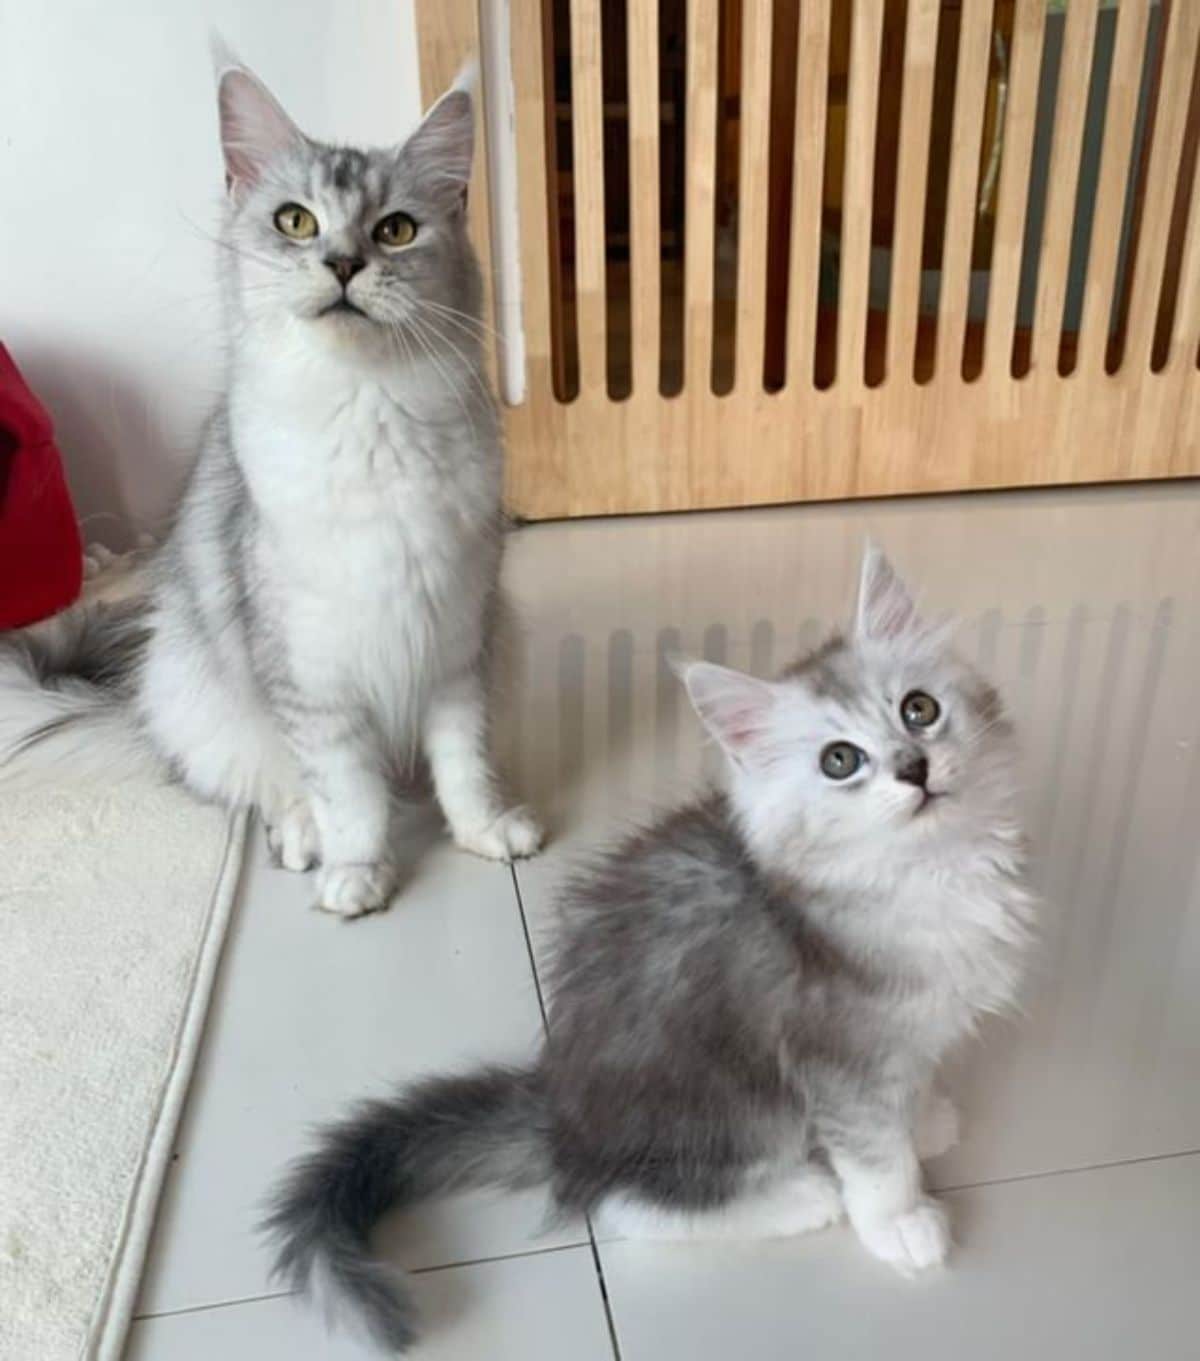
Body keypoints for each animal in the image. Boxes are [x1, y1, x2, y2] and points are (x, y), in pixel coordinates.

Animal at [0, 53, 538, 914]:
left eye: (396, 229)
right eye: (296, 222)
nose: (344, 264)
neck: (369, 415)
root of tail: (139, 696)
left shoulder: (458, 642)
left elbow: (464, 763)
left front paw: (487, 831)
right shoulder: (310, 672)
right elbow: (347, 789)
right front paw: (358, 873)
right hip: (205, 695)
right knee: (268, 784)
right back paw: (302, 838)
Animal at [266, 544, 1034, 1350]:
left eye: (919, 709)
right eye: (840, 760)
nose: (913, 767)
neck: (926, 872)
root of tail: (561, 1108)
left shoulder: (905, 1034)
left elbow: (908, 1091)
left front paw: (926, 1120)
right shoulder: (838, 1057)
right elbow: (875, 1156)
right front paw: (901, 1219)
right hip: (733, 1102)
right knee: (626, 1203)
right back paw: (803, 1194)